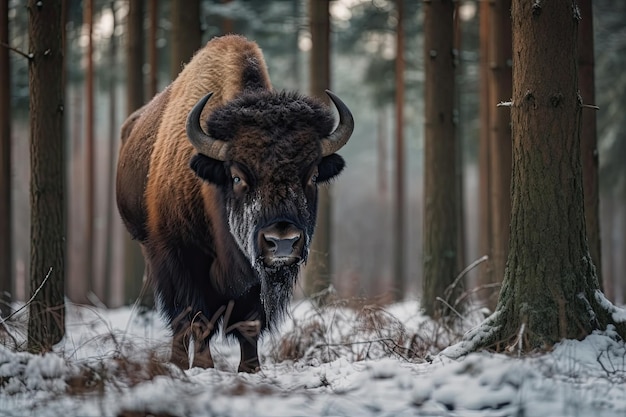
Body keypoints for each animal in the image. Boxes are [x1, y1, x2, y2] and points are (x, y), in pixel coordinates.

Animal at [116, 35, 352, 370]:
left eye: (313, 174)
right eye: (238, 176)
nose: (282, 242)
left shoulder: (254, 280)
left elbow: (248, 324)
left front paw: (250, 368)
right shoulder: (182, 258)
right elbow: (195, 316)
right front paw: (201, 366)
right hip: (152, 249)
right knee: (180, 318)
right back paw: (179, 361)